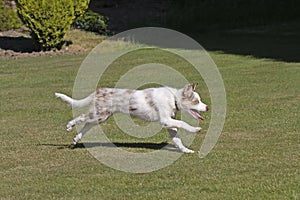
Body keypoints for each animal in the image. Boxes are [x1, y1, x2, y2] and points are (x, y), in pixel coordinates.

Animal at [55, 83, 207, 153]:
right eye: (196, 101)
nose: (207, 108)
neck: (173, 98)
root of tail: (99, 90)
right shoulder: (165, 121)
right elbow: (183, 123)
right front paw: (195, 129)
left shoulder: (169, 124)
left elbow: (177, 139)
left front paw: (185, 150)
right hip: (99, 114)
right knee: (81, 117)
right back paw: (69, 125)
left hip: (100, 116)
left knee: (87, 124)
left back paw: (76, 138)